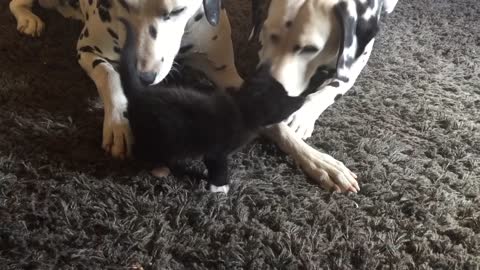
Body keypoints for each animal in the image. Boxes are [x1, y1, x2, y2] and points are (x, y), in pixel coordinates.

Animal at [10, 0, 244, 158]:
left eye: (177, 11)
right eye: (124, 4)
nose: (144, 77)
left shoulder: (227, 74)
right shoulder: (88, 50)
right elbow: (110, 76)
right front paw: (118, 123)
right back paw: (28, 19)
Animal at [117, 18, 304, 192]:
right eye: (285, 98)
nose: (301, 99)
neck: (241, 106)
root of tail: (139, 92)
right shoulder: (217, 151)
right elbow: (218, 166)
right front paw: (220, 188)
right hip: (152, 133)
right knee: (141, 149)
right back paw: (157, 167)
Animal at [246, 0, 400, 192]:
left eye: (310, 49)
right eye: (269, 34)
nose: (261, 98)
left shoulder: (354, 61)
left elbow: (330, 89)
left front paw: (302, 116)